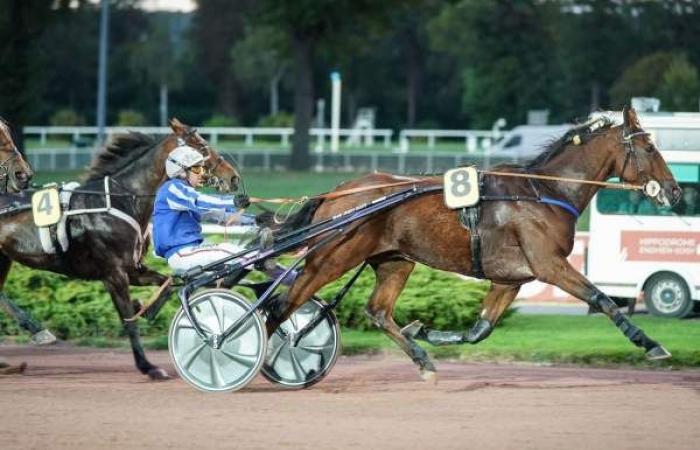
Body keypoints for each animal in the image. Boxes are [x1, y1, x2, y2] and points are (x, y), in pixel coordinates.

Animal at [0, 119, 241, 380]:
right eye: (200, 145)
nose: (233, 177)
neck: (121, 199)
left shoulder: (133, 269)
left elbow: (165, 285)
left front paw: (144, 308)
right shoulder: (113, 273)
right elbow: (129, 322)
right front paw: (148, 366)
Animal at [270, 108, 684, 380]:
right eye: (649, 148)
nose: (675, 191)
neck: (546, 192)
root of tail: (336, 192)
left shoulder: (510, 277)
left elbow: (480, 329)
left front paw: (425, 332)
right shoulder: (549, 265)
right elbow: (601, 299)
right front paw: (651, 344)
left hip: (395, 260)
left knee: (378, 311)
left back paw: (422, 360)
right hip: (332, 258)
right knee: (282, 304)